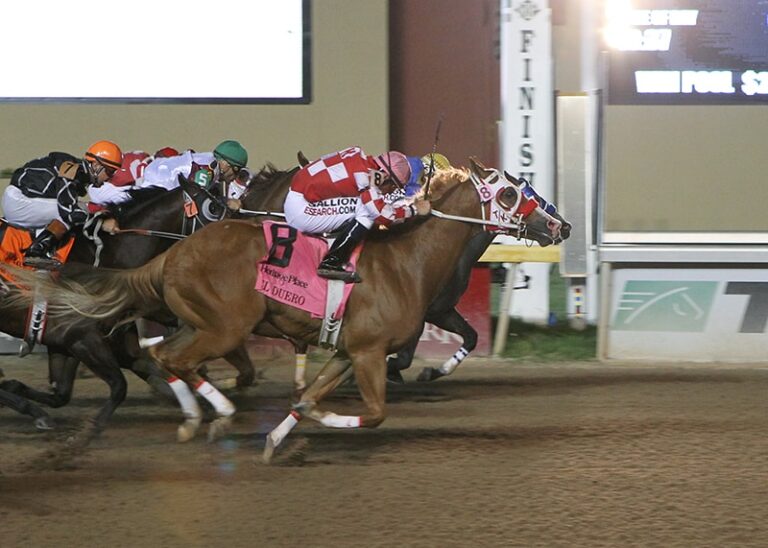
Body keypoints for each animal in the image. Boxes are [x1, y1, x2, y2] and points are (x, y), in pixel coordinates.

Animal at [4, 158, 564, 454]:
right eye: (511, 193)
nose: (561, 226)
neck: (409, 258)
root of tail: (171, 255)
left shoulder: (349, 351)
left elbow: (310, 396)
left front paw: (279, 437)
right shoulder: (367, 351)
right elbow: (373, 413)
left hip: (197, 322)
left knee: (164, 358)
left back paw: (195, 414)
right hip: (225, 327)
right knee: (170, 359)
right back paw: (218, 412)